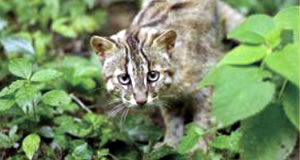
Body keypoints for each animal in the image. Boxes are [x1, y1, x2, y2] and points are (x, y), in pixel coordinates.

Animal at [91, 0, 244, 150]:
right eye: (124, 78)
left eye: (153, 75)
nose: (141, 101)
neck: (173, 83)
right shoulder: (169, 99)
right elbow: (172, 121)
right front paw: (170, 144)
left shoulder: (208, 77)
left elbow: (204, 118)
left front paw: (200, 147)